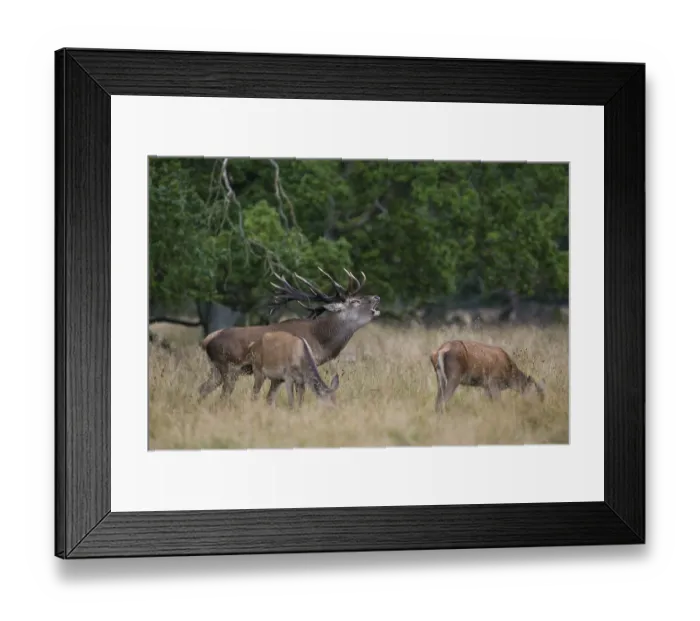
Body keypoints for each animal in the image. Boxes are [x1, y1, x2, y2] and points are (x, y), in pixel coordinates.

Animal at [197, 267, 380, 401]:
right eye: (355, 301)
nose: (376, 297)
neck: (320, 340)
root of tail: (207, 340)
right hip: (229, 367)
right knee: (223, 394)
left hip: (216, 369)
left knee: (202, 389)